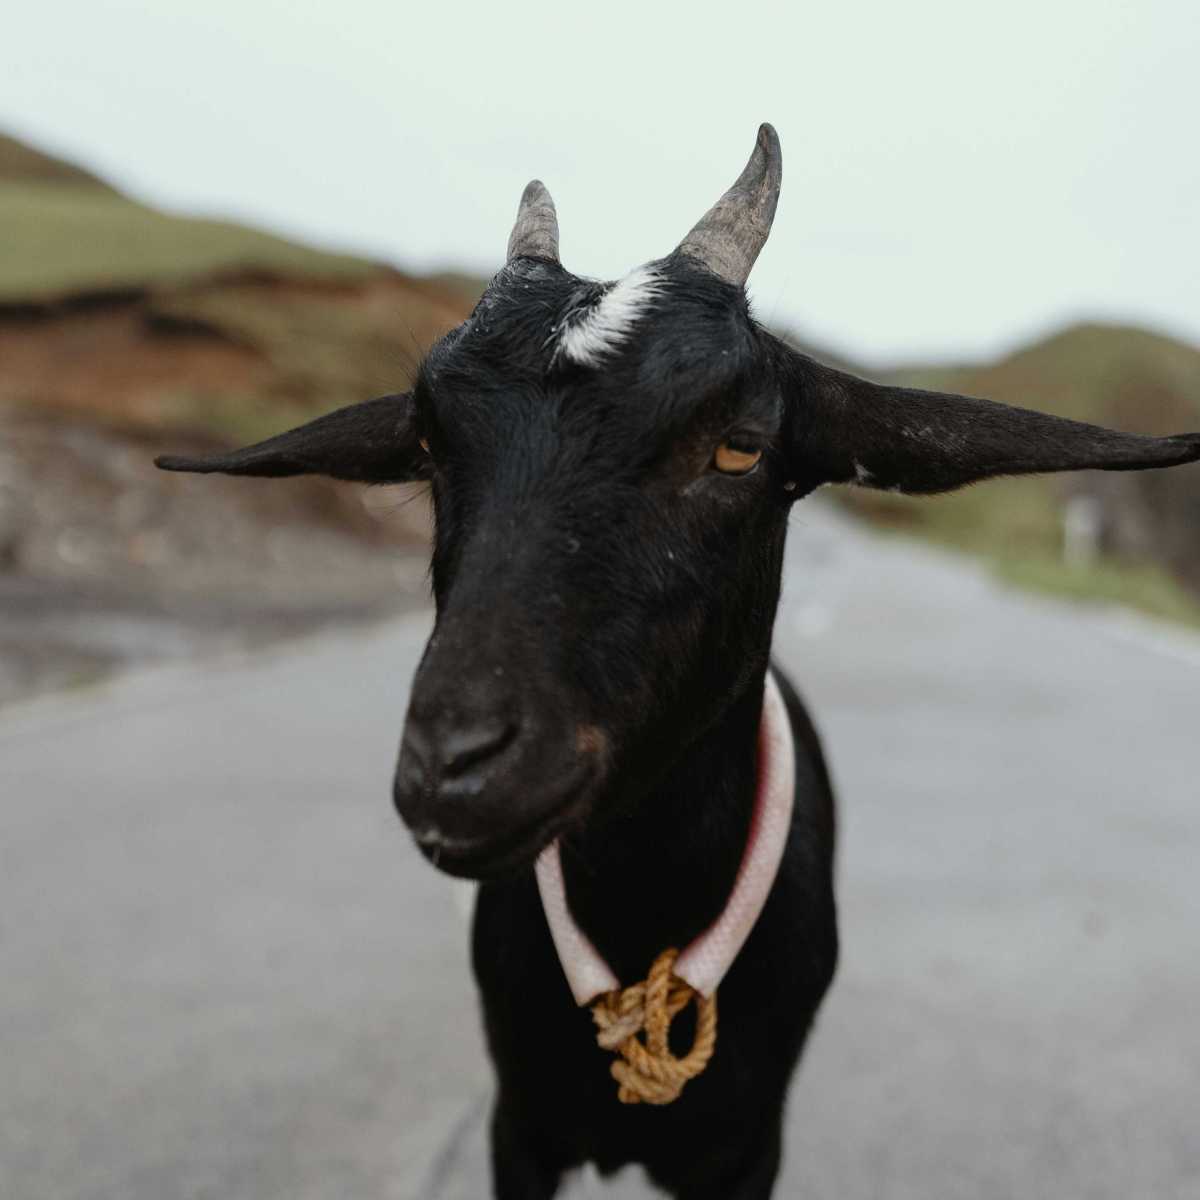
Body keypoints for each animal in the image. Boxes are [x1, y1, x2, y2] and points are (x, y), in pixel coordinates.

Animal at [157, 124, 1200, 1198]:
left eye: (740, 448)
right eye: (430, 442)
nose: (456, 768)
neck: (640, 911)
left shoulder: (744, 1145)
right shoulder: (519, 1125)